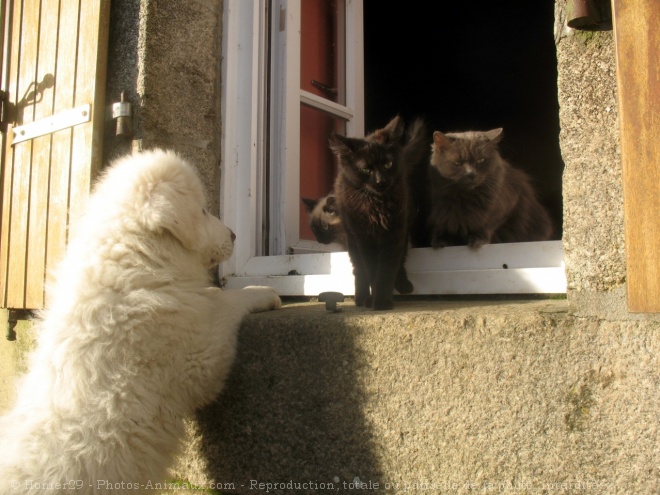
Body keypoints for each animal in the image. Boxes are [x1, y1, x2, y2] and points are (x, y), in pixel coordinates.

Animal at [0, 149, 282, 494]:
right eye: (203, 210)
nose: (234, 235)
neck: (134, 262)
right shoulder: (195, 350)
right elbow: (222, 305)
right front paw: (261, 292)